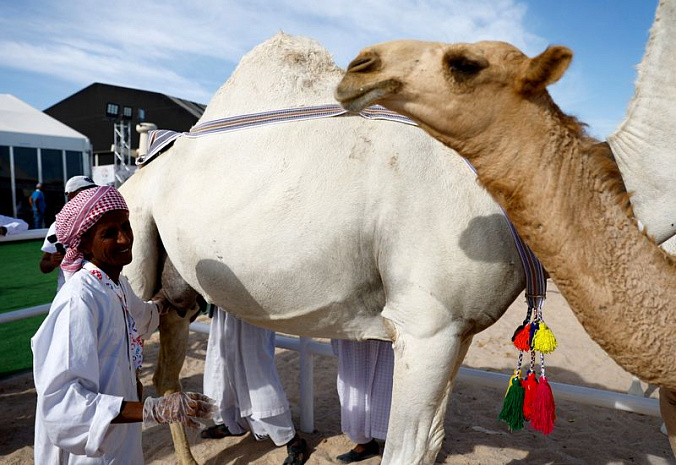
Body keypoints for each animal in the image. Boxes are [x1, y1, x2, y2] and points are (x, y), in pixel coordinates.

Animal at [121, 33, 528, 464]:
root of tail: (133, 178)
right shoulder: (429, 327)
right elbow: (408, 448)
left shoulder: (459, 330)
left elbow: (431, 442)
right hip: (134, 242)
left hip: (176, 287)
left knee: (165, 373)